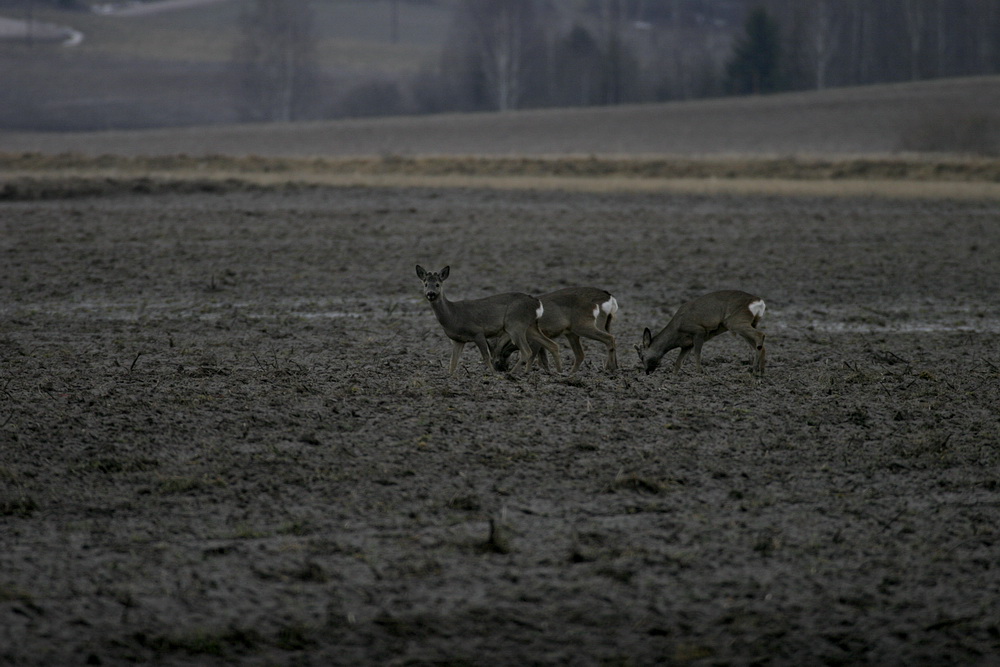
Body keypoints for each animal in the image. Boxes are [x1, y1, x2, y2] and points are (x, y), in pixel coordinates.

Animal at [414, 268, 564, 380]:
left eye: (437, 284)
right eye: (425, 284)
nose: (430, 293)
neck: (453, 316)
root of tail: (536, 302)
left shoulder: (478, 332)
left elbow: (486, 357)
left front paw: (493, 374)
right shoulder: (458, 340)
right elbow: (453, 361)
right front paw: (449, 376)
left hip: (515, 324)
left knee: (527, 351)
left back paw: (511, 374)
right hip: (530, 326)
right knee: (552, 345)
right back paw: (559, 371)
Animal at [636, 290, 768, 378]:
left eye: (641, 356)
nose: (647, 372)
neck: (676, 331)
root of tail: (759, 301)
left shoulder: (698, 331)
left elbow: (697, 354)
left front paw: (700, 373)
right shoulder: (686, 345)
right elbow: (678, 362)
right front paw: (674, 376)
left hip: (735, 321)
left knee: (760, 335)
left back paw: (754, 371)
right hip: (750, 323)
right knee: (760, 345)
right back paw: (760, 372)